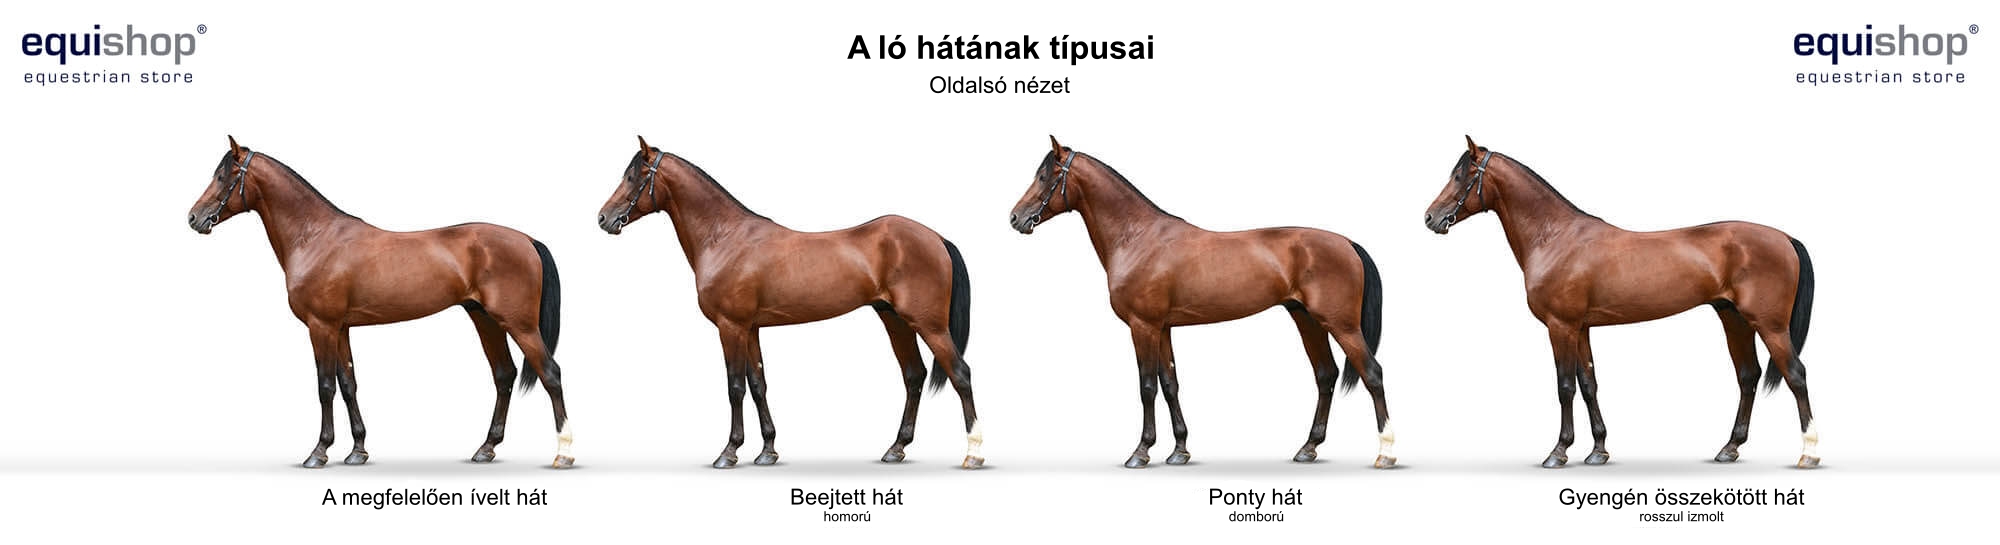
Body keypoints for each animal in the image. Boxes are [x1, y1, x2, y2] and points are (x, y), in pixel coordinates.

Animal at [185, 136, 574, 469]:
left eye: (223, 176)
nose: (194, 217)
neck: (315, 237)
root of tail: (527, 240)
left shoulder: (321, 326)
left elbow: (325, 386)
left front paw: (319, 452)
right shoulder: (340, 328)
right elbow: (348, 385)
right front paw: (357, 450)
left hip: (519, 325)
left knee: (550, 373)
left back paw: (563, 453)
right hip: (485, 319)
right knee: (504, 374)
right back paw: (486, 448)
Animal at [596, 137, 982, 469]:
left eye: (633, 177)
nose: (603, 218)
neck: (725, 237)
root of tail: (937, 238)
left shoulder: (730, 327)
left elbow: (735, 387)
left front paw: (729, 452)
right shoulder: (750, 328)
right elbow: (758, 385)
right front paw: (767, 450)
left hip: (928, 325)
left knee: (960, 373)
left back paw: (973, 453)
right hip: (895, 320)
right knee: (914, 375)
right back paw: (896, 448)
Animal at [1008, 136, 1395, 469]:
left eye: (1045, 176)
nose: (1015, 217)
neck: (1138, 237)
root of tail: (1347, 243)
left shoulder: (1142, 326)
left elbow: (1147, 386)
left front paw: (1141, 451)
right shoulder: (1162, 328)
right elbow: (1170, 385)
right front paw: (1179, 450)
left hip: (1341, 325)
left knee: (1372, 373)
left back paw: (1385, 453)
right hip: (1307, 320)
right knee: (1325, 375)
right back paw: (1308, 447)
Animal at [1423, 136, 1819, 469]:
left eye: (1460, 176)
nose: (1430, 217)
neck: (1555, 237)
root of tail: (1785, 237)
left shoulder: (1560, 326)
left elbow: (1565, 386)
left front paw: (1558, 451)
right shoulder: (1581, 328)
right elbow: (1588, 384)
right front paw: (1598, 450)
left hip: (1769, 326)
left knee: (1795, 374)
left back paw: (1809, 453)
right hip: (1733, 319)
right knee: (1748, 376)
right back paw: (1729, 448)